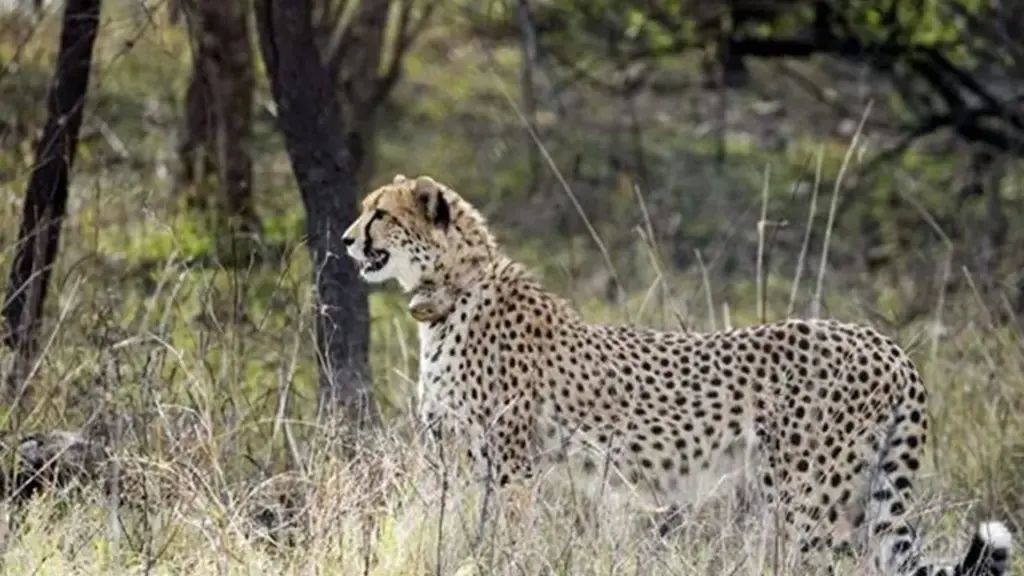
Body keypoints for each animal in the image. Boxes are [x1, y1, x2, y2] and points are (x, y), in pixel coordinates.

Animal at [341, 174, 1012, 576]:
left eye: (379, 214)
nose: (346, 240)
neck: (452, 291)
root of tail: (886, 342)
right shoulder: (456, 458)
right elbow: (451, 526)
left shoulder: (510, 462)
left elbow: (502, 532)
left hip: (809, 498)